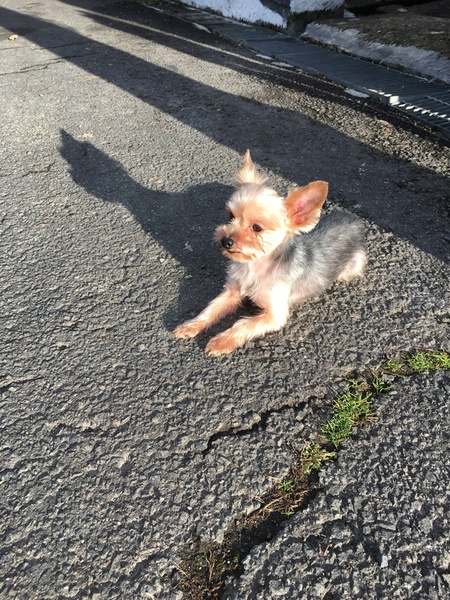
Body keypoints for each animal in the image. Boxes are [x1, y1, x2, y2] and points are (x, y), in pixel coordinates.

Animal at [174, 150, 366, 356]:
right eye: (231, 216)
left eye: (257, 228)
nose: (226, 241)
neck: (255, 265)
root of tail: (353, 218)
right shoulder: (232, 291)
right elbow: (210, 309)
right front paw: (190, 325)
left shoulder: (274, 315)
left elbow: (243, 325)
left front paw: (221, 341)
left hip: (354, 266)